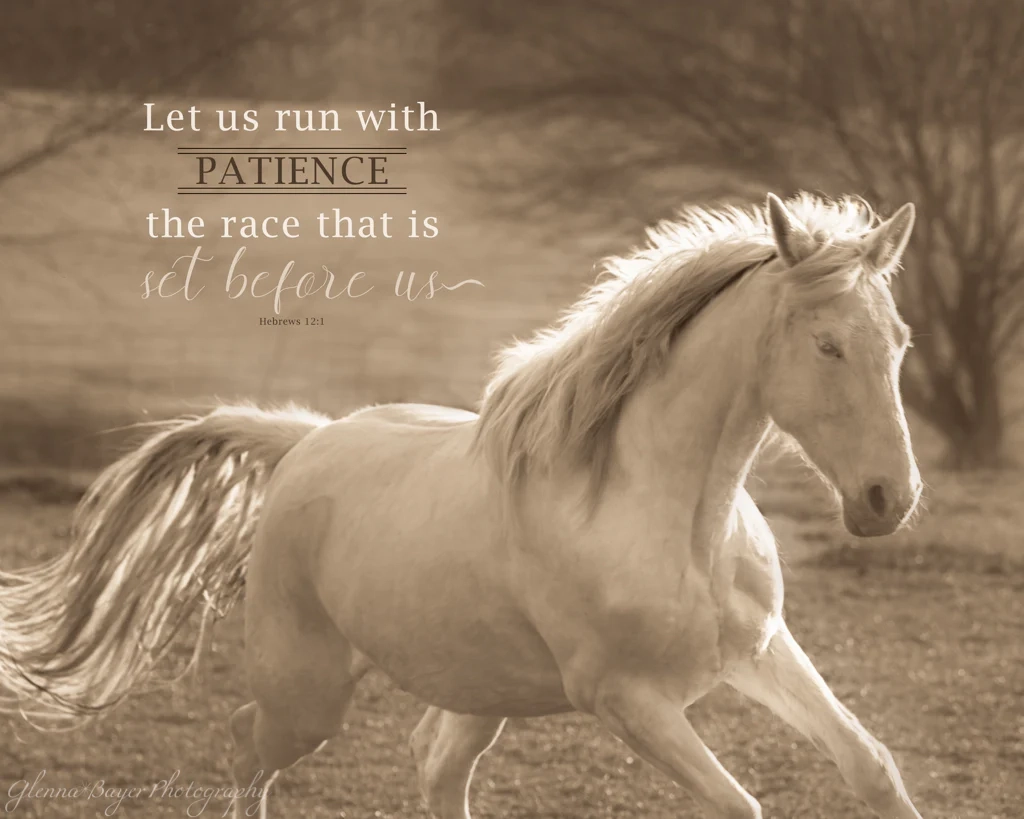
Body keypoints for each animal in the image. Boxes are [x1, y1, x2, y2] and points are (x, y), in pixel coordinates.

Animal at [0, 192, 927, 819]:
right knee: (245, 742)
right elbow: (741, 804)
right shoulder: (627, 700)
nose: (889, 499)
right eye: (827, 344)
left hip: (481, 687)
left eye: (899, 340)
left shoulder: (761, 651)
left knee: (435, 763)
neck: (666, 517)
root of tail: (307, 443)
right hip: (310, 691)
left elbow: (873, 762)